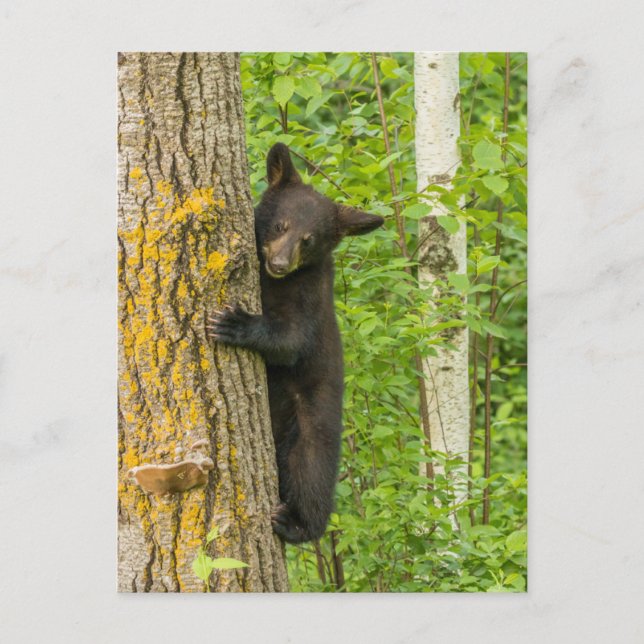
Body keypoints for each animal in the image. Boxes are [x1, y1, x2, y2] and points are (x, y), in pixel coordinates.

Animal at [207, 143, 384, 544]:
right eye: (280, 225)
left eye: (309, 240)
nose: (279, 263)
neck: (273, 283)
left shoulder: (309, 297)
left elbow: (290, 341)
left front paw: (235, 323)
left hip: (312, 426)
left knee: (310, 475)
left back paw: (296, 523)